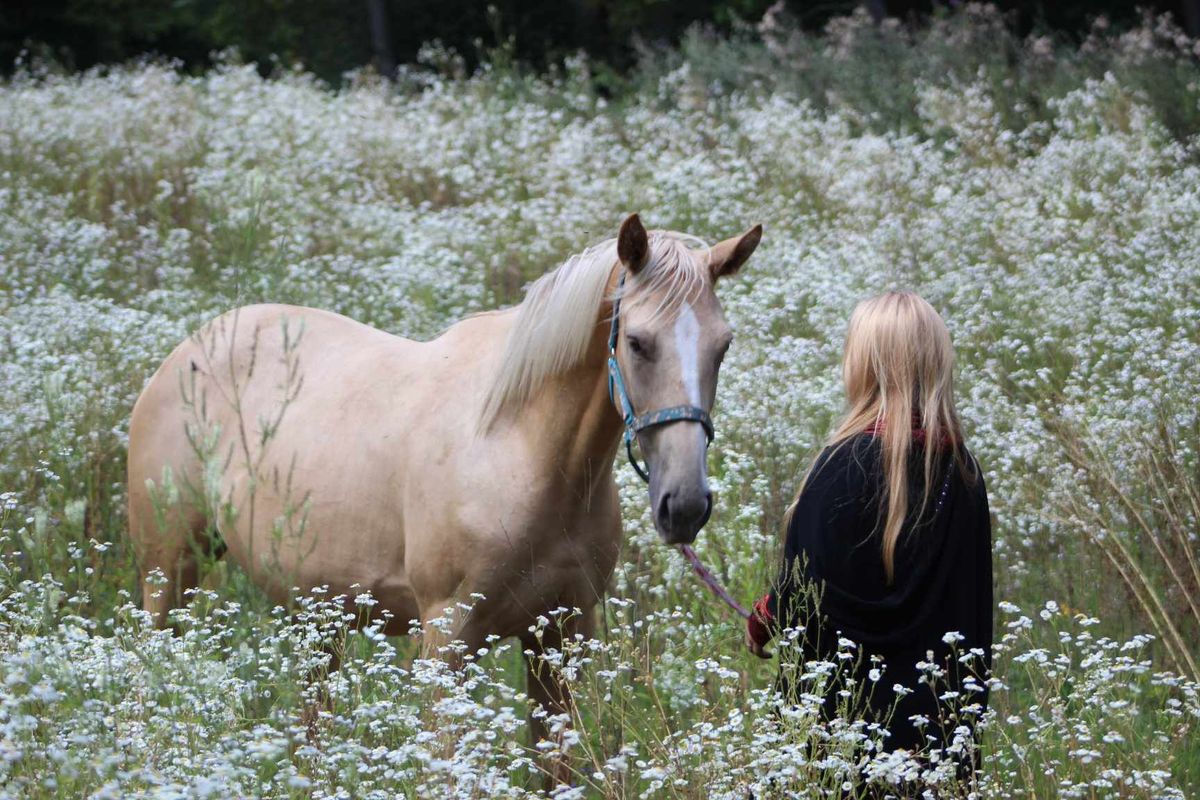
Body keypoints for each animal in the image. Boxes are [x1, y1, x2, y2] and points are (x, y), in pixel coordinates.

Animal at [129, 214, 758, 767]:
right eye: (637, 342)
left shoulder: (560, 637)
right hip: (169, 575)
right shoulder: (447, 639)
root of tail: (187, 351)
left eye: (723, 345)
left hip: (317, 616)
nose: (685, 506)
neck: (519, 447)